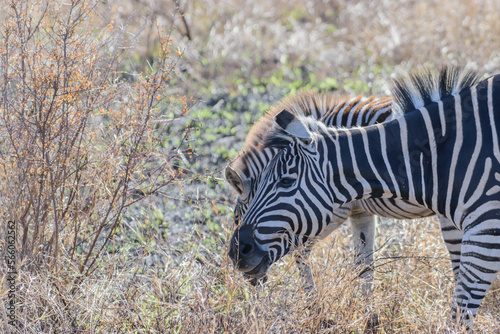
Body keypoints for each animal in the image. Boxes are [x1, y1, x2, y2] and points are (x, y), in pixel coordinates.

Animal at [229, 66, 496, 328]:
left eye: (286, 182)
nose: (237, 256)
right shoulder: (359, 211)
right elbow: (364, 265)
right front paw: (370, 320)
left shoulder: (333, 212)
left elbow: (302, 254)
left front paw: (316, 310)